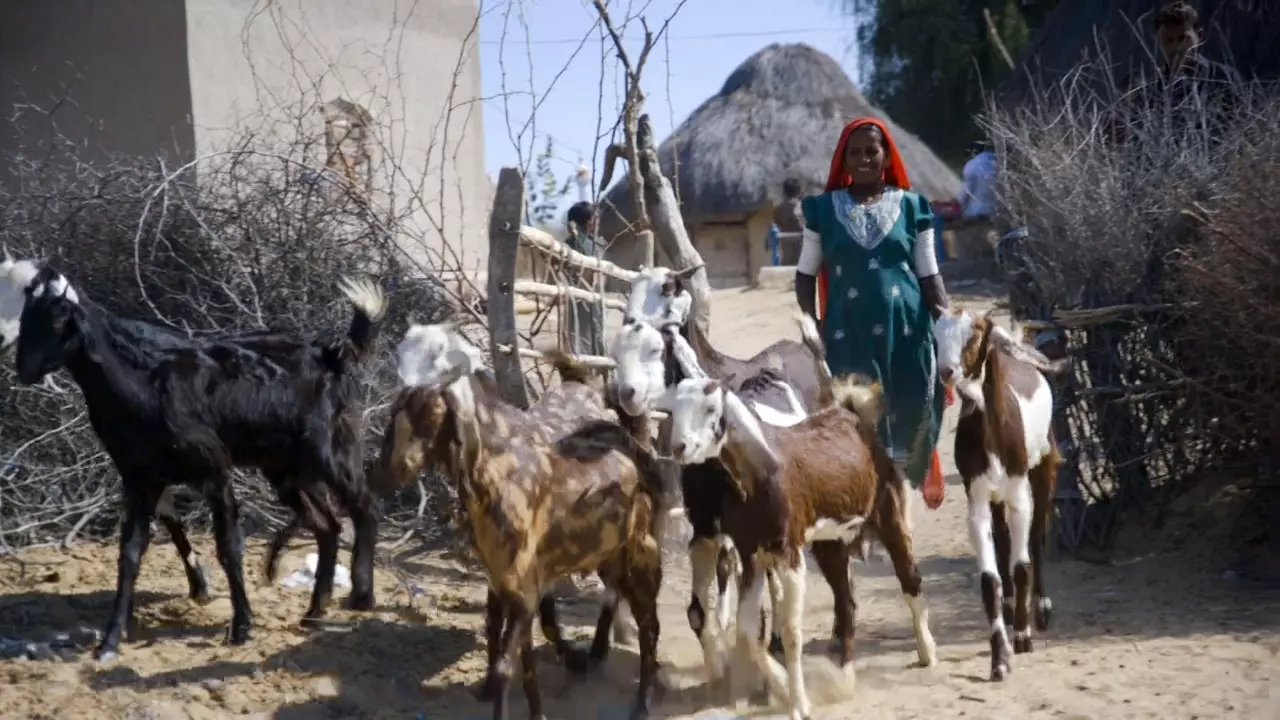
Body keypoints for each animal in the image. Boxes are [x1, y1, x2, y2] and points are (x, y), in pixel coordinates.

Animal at [386, 320, 670, 717]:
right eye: (400, 405)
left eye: (432, 408)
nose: (397, 466)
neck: (501, 472)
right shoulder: (506, 582)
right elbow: (520, 655)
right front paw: (535, 709)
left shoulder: (523, 587)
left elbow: (508, 664)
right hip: (611, 556)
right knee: (623, 604)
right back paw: (601, 658)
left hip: (644, 555)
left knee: (650, 626)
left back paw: (642, 700)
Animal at [650, 368, 942, 717]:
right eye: (673, 410)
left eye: (710, 408)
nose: (679, 447)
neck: (760, 472)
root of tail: (851, 414)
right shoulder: (751, 553)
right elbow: (748, 630)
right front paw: (778, 686)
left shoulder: (787, 553)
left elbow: (790, 632)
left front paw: (799, 704)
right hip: (830, 542)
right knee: (846, 603)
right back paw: (841, 674)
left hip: (889, 517)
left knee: (909, 579)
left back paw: (927, 653)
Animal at [936, 307, 1064, 676]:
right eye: (936, 334)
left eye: (974, 334)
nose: (946, 371)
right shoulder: (977, 497)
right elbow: (988, 578)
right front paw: (999, 658)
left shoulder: (1020, 493)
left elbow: (1022, 564)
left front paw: (1022, 636)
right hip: (996, 495)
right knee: (1005, 536)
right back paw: (1008, 606)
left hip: (1043, 467)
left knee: (1036, 536)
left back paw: (1041, 608)